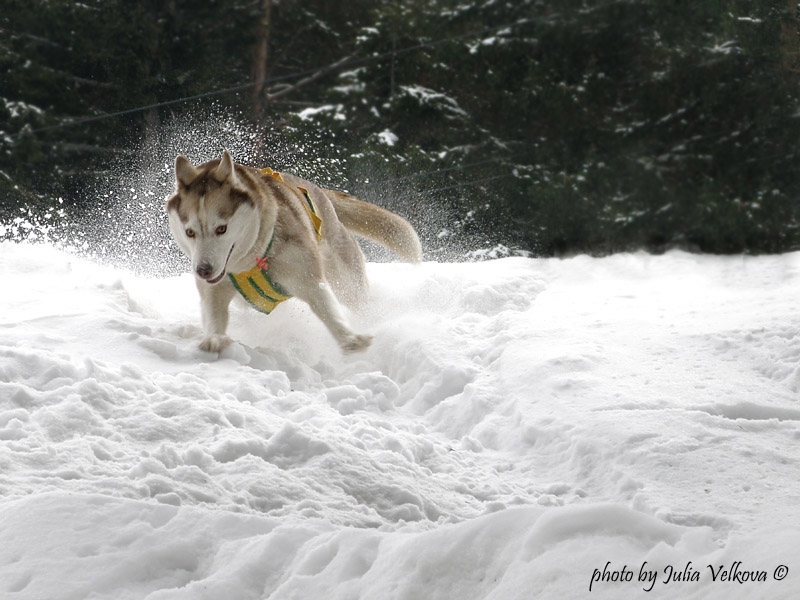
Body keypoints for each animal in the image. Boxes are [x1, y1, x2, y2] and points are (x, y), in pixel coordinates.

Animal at [166, 151, 422, 354]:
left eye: (221, 228)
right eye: (190, 232)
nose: (203, 270)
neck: (250, 261)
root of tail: (320, 193)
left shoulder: (308, 277)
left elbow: (326, 306)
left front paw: (349, 337)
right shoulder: (214, 289)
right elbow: (213, 312)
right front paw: (214, 338)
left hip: (347, 283)